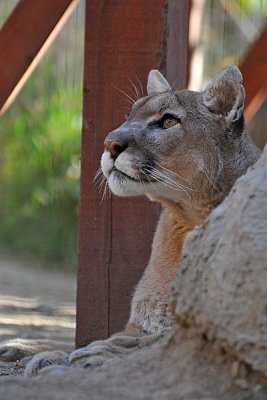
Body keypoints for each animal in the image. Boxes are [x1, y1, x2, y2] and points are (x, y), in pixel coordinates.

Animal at [0, 65, 260, 376]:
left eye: (168, 120)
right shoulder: (140, 322)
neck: (186, 217)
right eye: (128, 115)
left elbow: (158, 341)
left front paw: (98, 353)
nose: (110, 143)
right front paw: (33, 349)